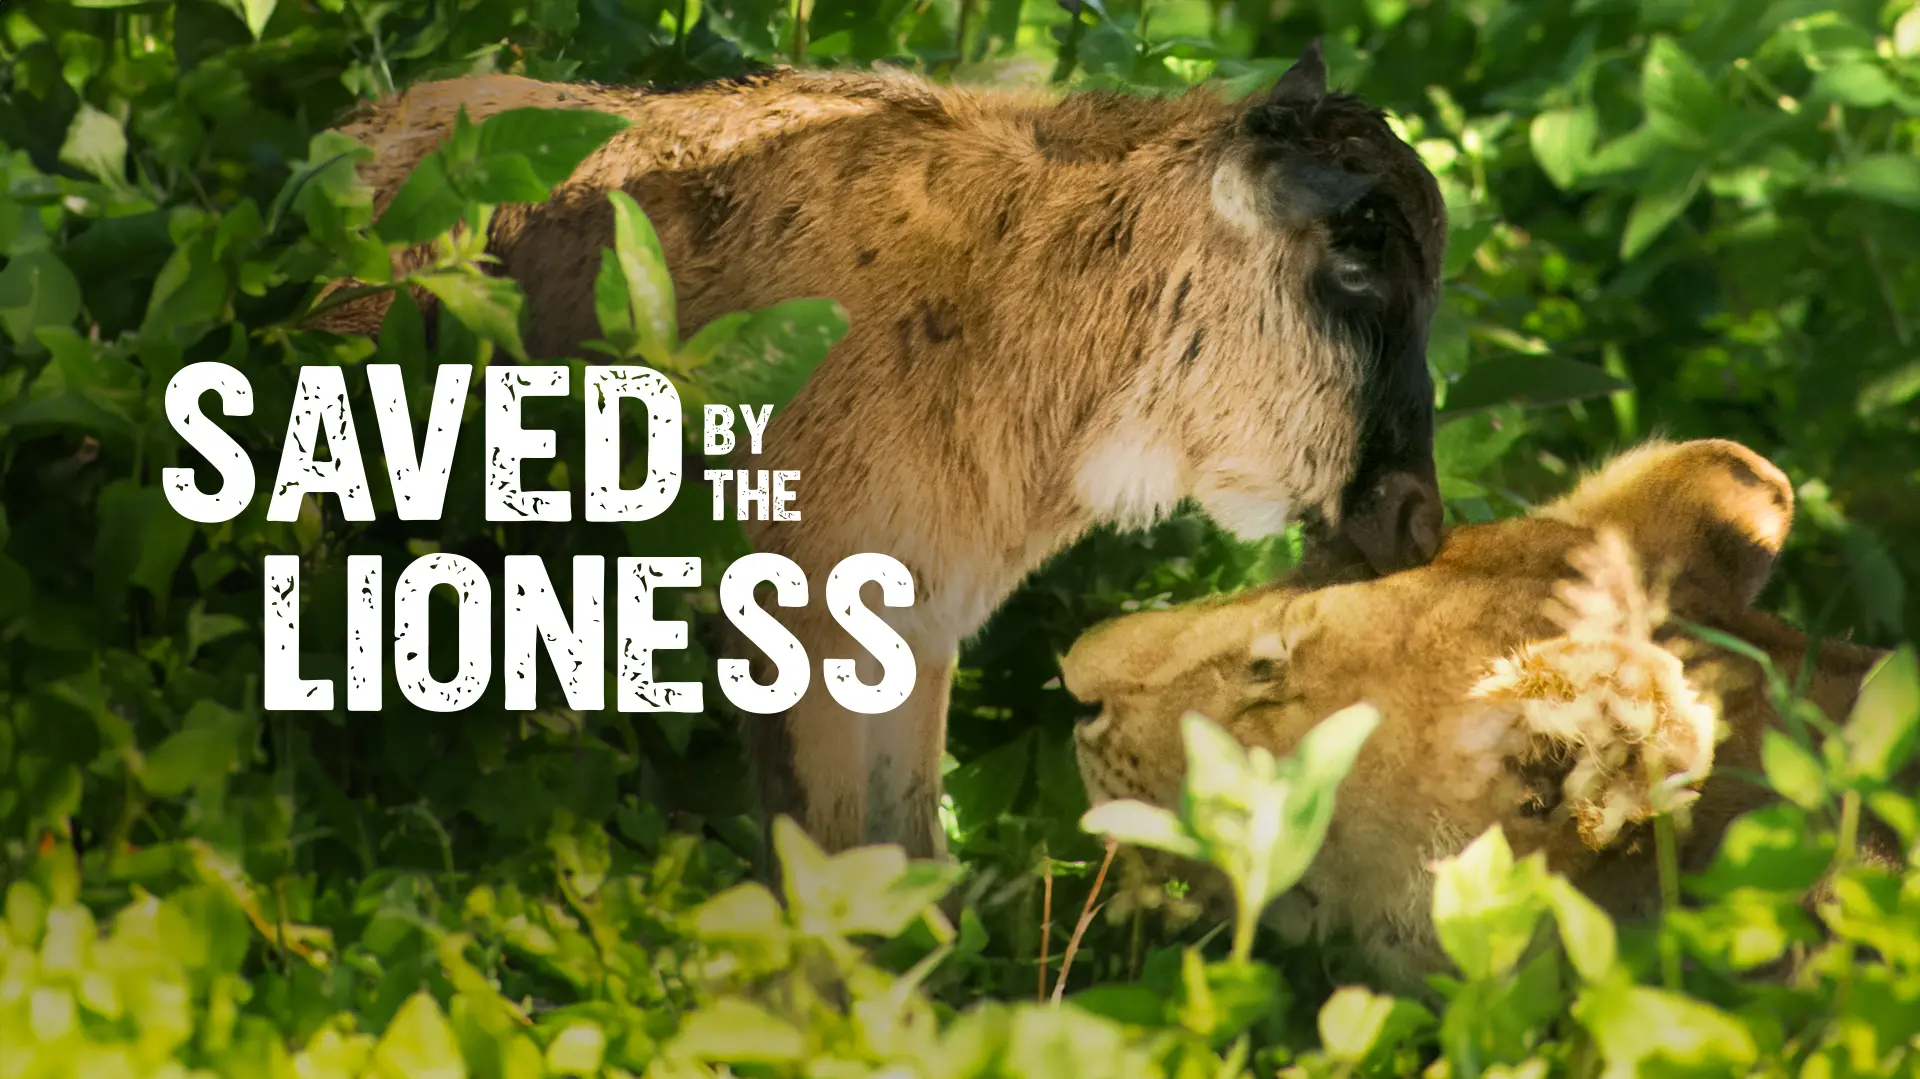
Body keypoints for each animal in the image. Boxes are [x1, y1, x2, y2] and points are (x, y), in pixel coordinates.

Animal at [310, 46, 1451, 863]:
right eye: (1359, 251)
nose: (1417, 515)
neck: (1017, 309)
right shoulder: (794, 629)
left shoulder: (918, 628)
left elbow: (910, 862)